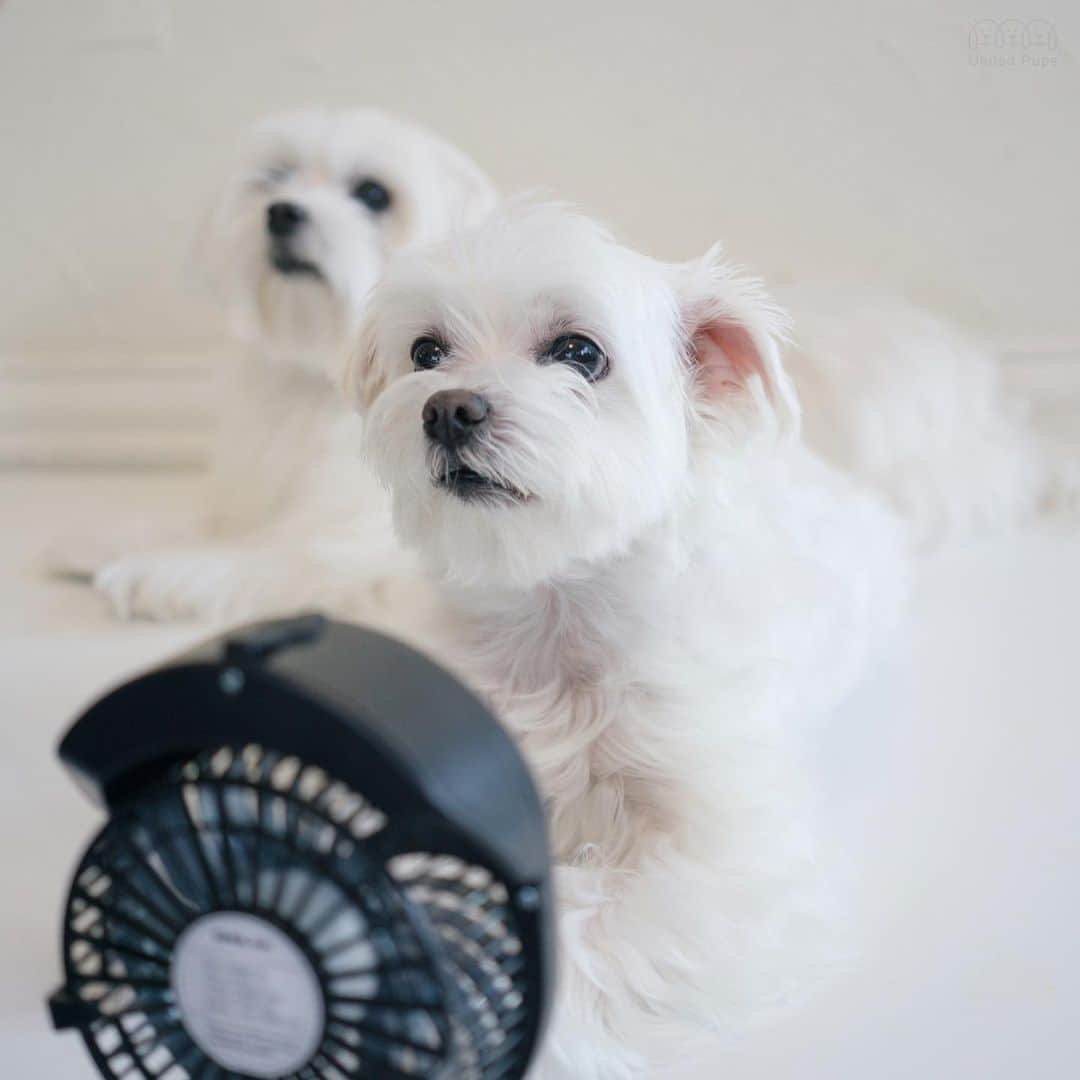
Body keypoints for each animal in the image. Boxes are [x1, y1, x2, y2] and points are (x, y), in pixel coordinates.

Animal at [56, 109, 494, 622]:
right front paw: (121, 538)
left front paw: (164, 572)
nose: (281, 212)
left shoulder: (359, 541)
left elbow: (279, 553)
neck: (317, 376)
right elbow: (220, 522)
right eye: (276, 178)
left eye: (373, 193)